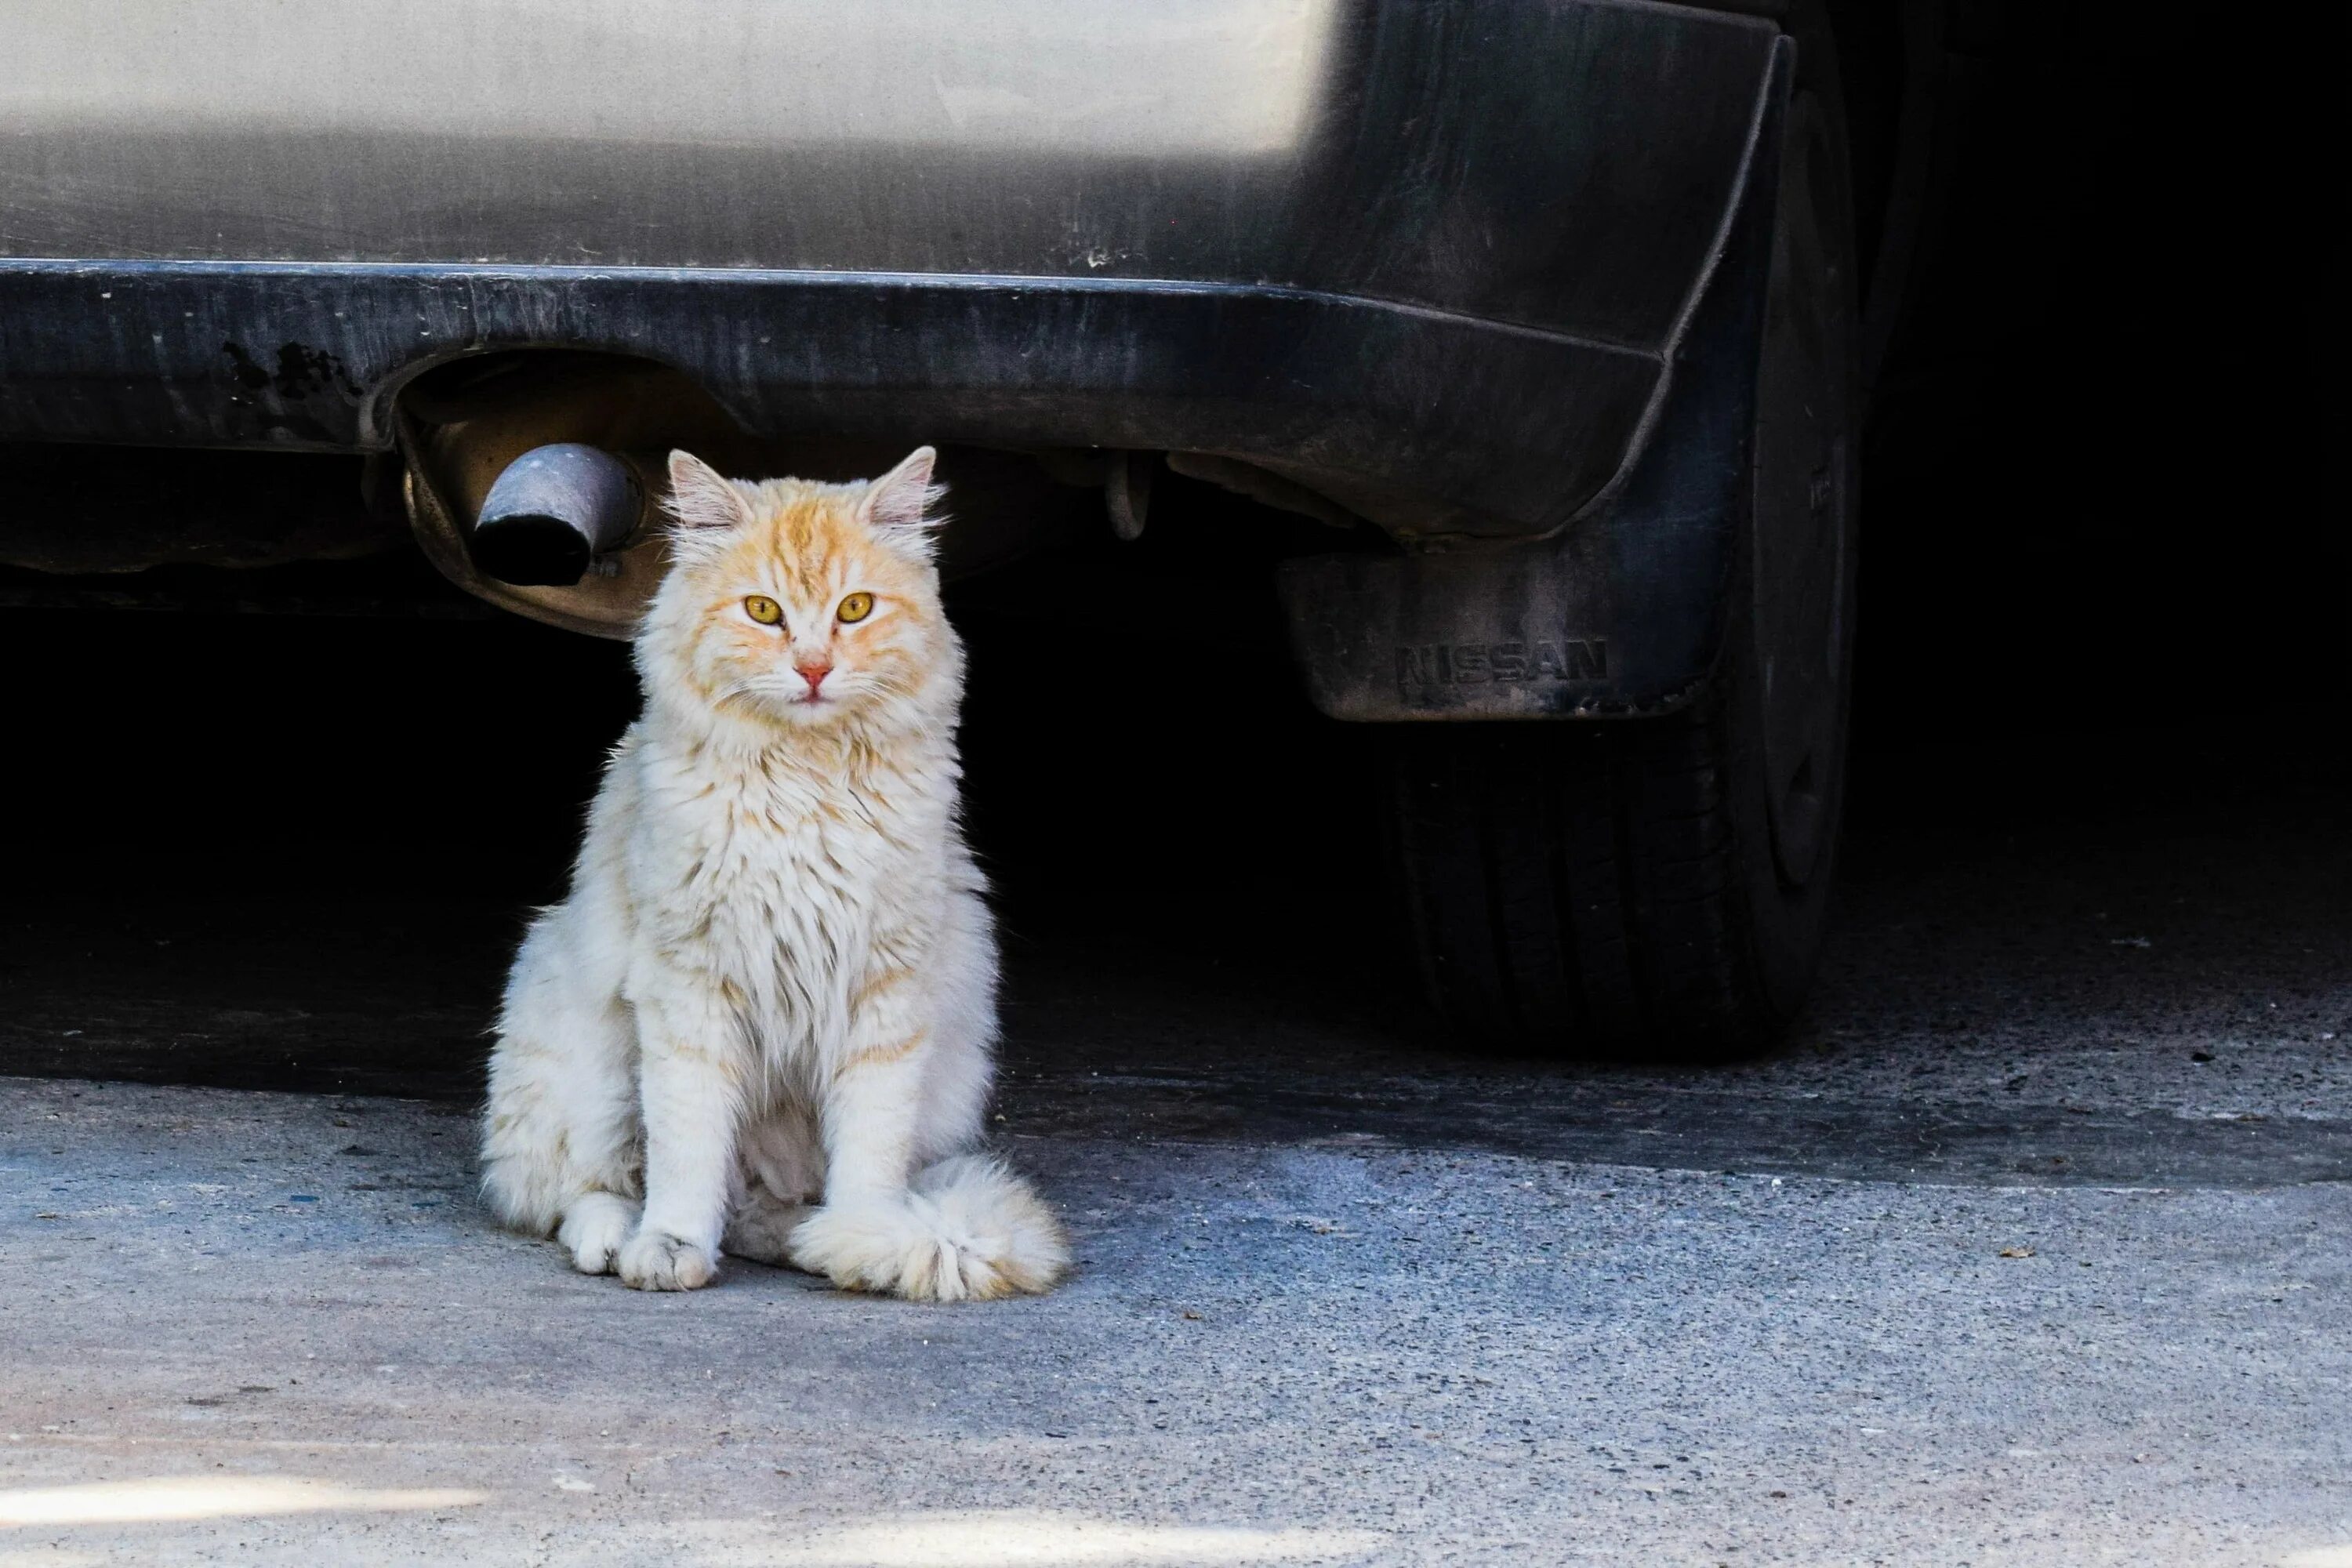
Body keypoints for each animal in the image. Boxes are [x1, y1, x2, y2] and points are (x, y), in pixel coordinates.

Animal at [477, 441, 1068, 1298]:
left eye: (855, 610)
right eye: (762, 611)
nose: (815, 668)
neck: (805, 779)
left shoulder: (885, 992)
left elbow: (869, 1150)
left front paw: (865, 1240)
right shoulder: (689, 990)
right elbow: (686, 1150)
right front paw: (672, 1246)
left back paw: (803, 1236)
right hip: (587, 1049)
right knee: (585, 1189)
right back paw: (621, 1242)